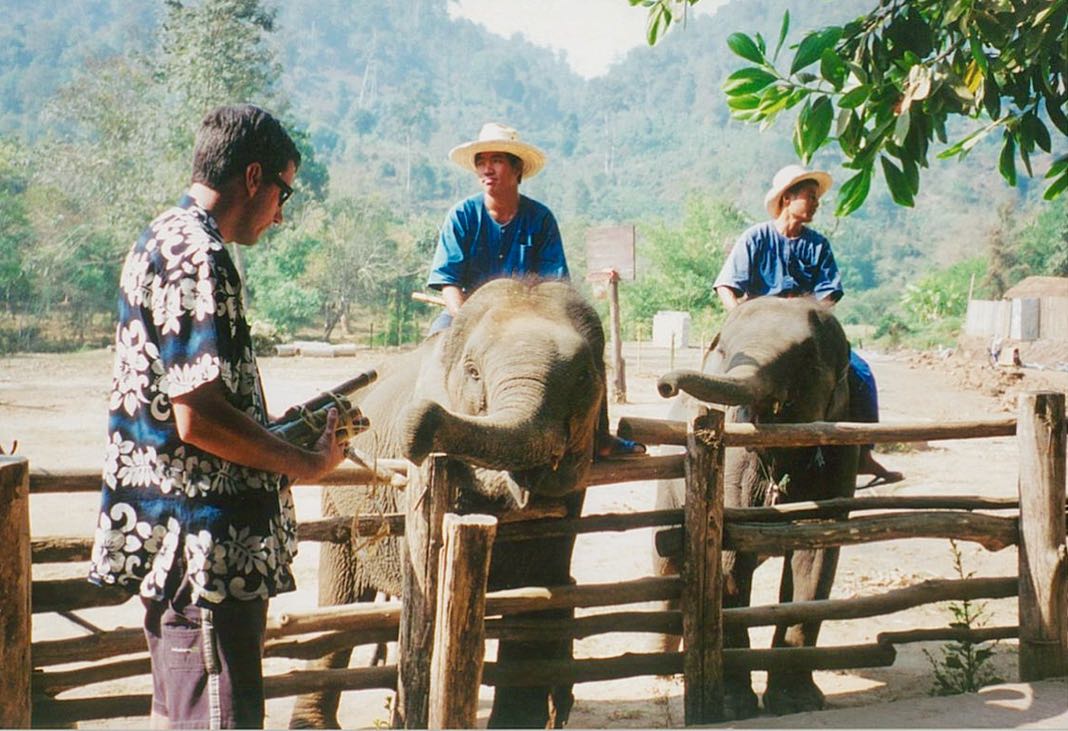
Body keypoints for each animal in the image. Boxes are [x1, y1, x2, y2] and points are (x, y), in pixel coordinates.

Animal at [290, 277, 610, 726]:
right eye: (473, 373)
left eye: (584, 377)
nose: (418, 421)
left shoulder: (570, 503)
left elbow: (539, 594)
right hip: (339, 503)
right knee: (340, 598)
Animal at [649, 297, 858, 718]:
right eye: (722, 350)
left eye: (806, 358)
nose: (665, 384)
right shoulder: (733, 453)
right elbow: (729, 553)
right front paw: (733, 707)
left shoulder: (842, 441)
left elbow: (817, 553)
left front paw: (795, 703)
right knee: (666, 557)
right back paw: (664, 674)